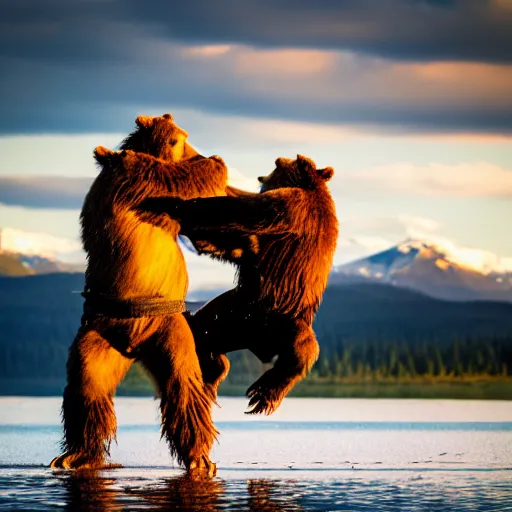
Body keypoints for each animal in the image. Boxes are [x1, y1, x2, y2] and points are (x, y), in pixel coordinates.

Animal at [49, 114, 229, 478]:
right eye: (180, 139)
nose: (202, 151)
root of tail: (134, 347)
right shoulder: (142, 183)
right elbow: (180, 181)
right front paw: (216, 164)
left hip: (165, 328)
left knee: (181, 384)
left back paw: (197, 455)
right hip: (101, 332)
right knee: (89, 383)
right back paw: (79, 454)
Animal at [139, 154, 340, 414]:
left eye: (277, 164)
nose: (261, 176)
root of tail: (261, 346)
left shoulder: (290, 208)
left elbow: (239, 211)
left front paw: (169, 202)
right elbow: (240, 245)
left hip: (274, 315)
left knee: (303, 346)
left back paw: (264, 392)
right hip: (233, 318)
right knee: (202, 333)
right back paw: (213, 371)